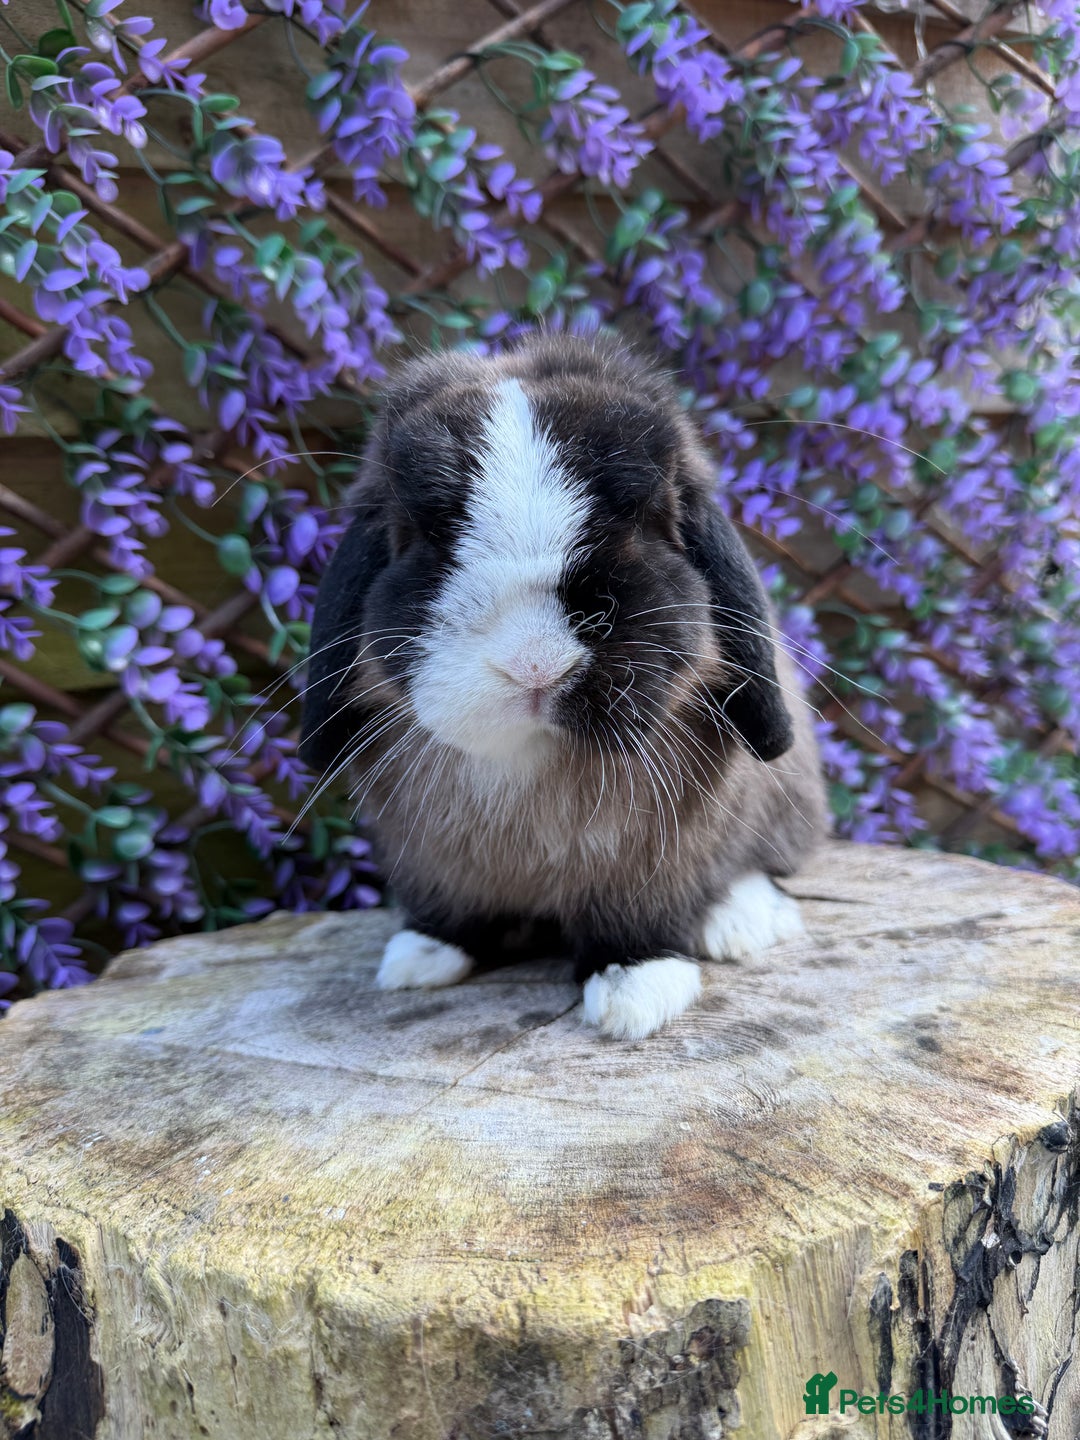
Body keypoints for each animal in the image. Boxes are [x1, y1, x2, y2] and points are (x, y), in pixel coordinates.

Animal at [299, 334, 828, 1039]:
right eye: (417, 535)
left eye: (652, 519)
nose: (535, 664)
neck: (532, 759)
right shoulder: (433, 862)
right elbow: (452, 910)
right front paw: (421, 955)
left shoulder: (652, 859)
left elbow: (641, 916)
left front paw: (636, 990)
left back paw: (743, 922)